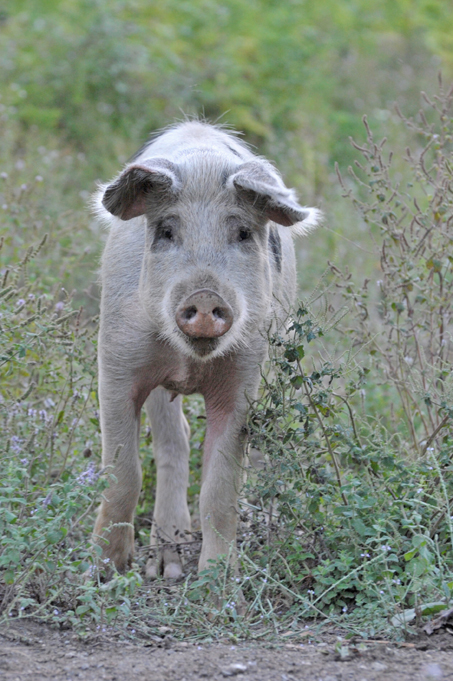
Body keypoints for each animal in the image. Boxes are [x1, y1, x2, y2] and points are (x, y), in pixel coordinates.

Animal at [92, 121, 320, 579]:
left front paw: (219, 581)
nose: (203, 297)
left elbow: (220, 488)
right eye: (166, 231)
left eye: (243, 233)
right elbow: (123, 473)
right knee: (174, 439)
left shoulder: (243, 378)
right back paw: (164, 568)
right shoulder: (116, 362)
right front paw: (105, 570)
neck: (189, 362)